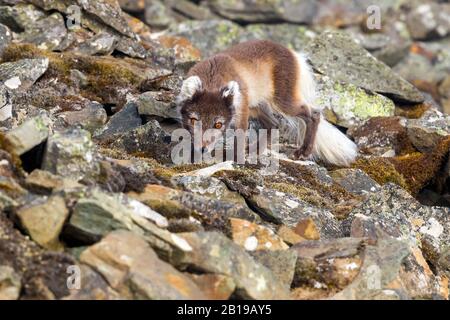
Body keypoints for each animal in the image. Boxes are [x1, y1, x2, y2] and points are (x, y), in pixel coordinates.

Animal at [176, 39, 358, 168]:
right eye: (194, 120)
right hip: (257, 106)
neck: (212, 79)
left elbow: (239, 138)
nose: (202, 149)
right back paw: (255, 150)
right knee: (274, 124)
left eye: (219, 125)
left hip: (282, 102)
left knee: (313, 113)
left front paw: (236, 160)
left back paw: (303, 152)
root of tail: (295, 54)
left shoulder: (241, 112)